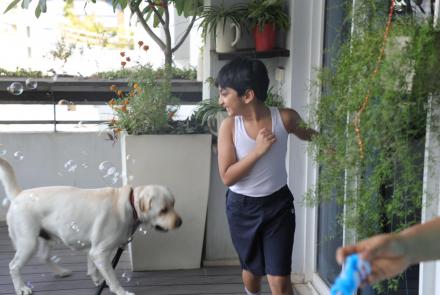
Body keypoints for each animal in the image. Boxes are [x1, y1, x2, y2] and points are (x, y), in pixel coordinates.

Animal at [0, 158, 182, 295]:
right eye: (163, 210)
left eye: (173, 204)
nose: (180, 222)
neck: (129, 205)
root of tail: (20, 194)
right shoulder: (100, 252)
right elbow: (113, 277)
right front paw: (120, 291)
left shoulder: (93, 249)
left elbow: (92, 268)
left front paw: (98, 280)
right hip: (28, 242)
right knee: (13, 266)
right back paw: (21, 288)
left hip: (47, 237)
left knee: (43, 256)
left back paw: (61, 271)